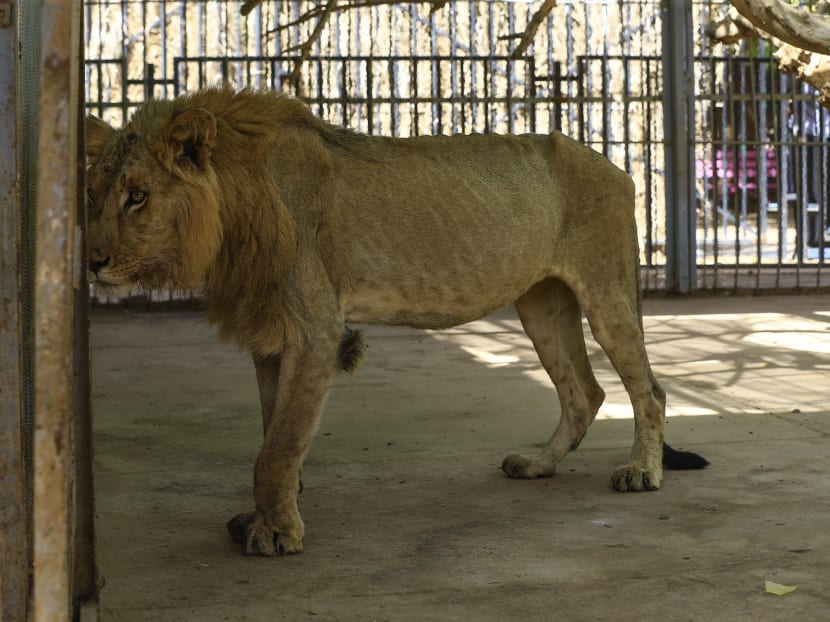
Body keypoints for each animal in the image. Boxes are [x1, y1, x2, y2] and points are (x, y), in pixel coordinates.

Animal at [85, 87, 707, 557]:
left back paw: (641, 473)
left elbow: (278, 444)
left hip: (606, 291)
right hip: (542, 303)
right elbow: (270, 432)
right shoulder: (271, 334)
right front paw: (264, 515)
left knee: (648, 390)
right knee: (584, 392)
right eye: (92, 195)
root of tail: (616, 167)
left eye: (137, 196)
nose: (92, 261)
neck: (234, 210)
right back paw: (538, 465)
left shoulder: (314, 329)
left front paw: (278, 533)